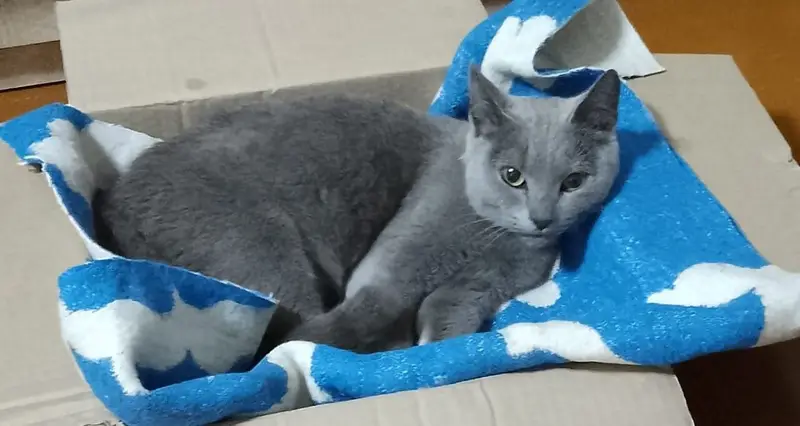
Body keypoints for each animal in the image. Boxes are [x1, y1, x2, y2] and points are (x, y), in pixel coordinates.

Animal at [95, 66, 620, 357]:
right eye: (513, 175)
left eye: (573, 182)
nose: (542, 218)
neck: (490, 237)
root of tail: (117, 202)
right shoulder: (394, 259)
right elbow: (369, 307)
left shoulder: (485, 284)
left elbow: (450, 308)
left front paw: (434, 347)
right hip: (258, 249)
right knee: (297, 328)